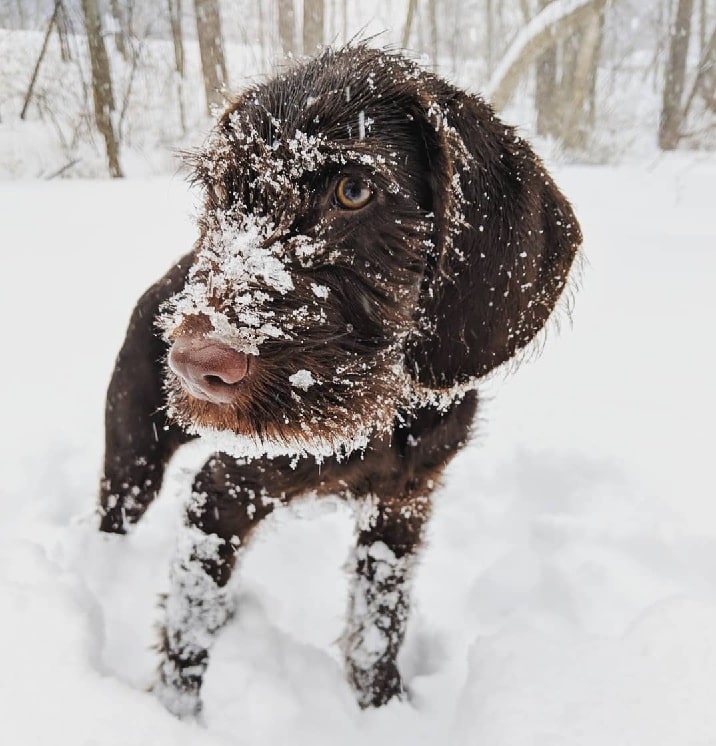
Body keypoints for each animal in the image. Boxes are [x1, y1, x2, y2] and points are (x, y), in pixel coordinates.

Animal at [99, 45, 580, 716]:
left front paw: (382, 707)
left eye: (354, 190)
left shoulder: (403, 509)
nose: (195, 365)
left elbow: (380, 623)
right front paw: (174, 715)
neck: (386, 415)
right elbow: (190, 624)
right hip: (132, 461)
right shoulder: (222, 492)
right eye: (223, 190)